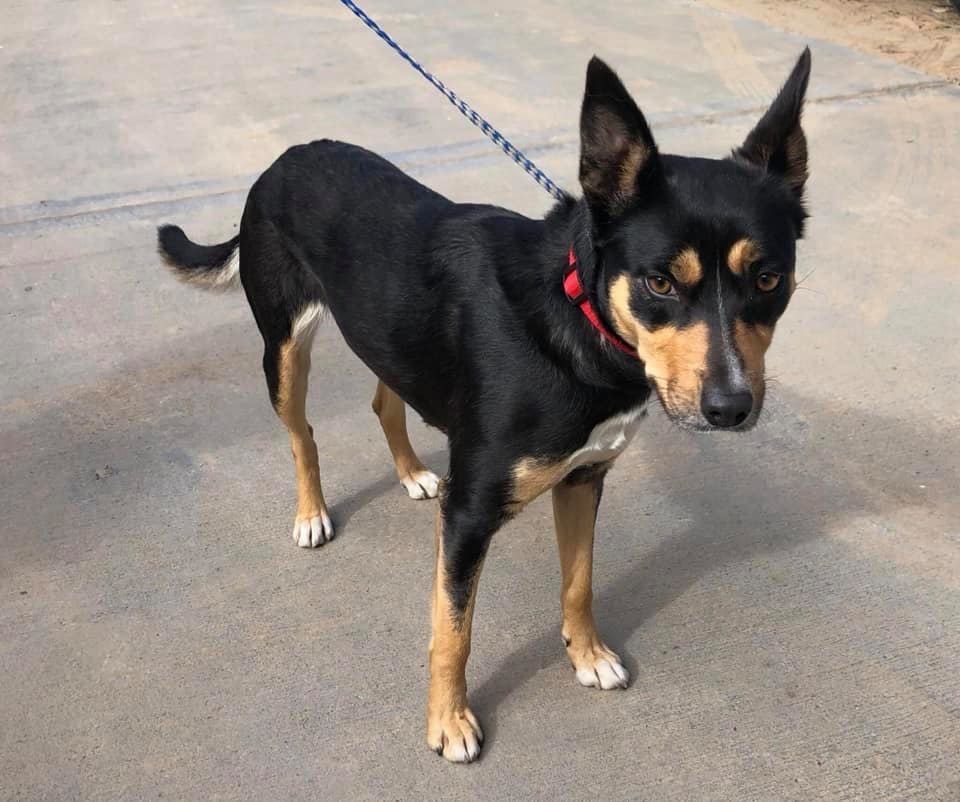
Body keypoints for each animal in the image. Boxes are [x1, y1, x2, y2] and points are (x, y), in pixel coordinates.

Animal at [158, 49, 811, 763]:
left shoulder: (583, 477)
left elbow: (579, 579)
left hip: (389, 337)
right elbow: (454, 630)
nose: (731, 407)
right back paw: (311, 514)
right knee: (302, 431)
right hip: (283, 347)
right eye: (659, 283)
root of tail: (284, 159)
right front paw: (448, 723)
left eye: (769, 279)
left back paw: (412, 471)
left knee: (385, 399)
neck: (577, 318)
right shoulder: (470, 514)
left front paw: (587, 655)